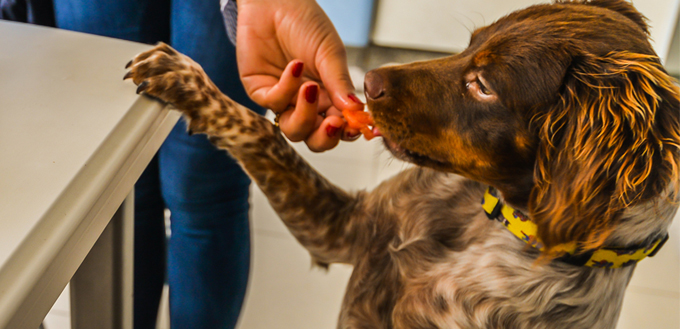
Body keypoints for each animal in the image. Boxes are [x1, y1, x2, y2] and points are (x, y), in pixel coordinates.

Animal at [125, 0, 680, 326]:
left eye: (483, 84)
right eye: (471, 43)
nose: (366, 84)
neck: (487, 224)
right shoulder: (344, 228)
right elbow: (261, 131)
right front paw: (185, 76)